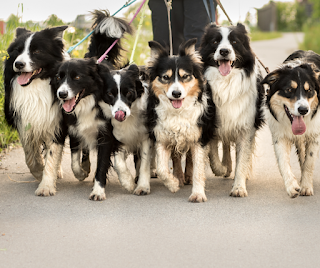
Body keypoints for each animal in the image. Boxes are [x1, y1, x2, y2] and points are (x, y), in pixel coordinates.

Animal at [3, 26, 69, 196]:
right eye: (18, 51)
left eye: (37, 51)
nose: (18, 64)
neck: (36, 86)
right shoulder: (25, 122)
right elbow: (30, 155)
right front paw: (39, 172)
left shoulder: (56, 124)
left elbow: (52, 156)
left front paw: (46, 186)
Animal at [52, 9, 132, 201]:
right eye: (58, 77)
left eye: (76, 77)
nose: (61, 94)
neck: (87, 102)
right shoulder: (74, 129)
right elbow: (74, 160)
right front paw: (81, 172)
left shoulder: (106, 135)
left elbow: (102, 165)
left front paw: (98, 190)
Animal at [200, 22, 264, 197]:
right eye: (215, 42)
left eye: (234, 42)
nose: (224, 51)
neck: (226, 82)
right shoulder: (212, 123)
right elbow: (213, 153)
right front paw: (221, 169)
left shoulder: (246, 127)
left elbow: (242, 159)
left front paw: (239, 187)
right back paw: (227, 166)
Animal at [262, 49, 320, 197]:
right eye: (289, 90)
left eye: (309, 90)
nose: (304, 110)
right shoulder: (279, 135)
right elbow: (283, 160)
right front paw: (292, 186)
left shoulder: (314, 134)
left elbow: (309, 161)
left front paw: (306, 186)